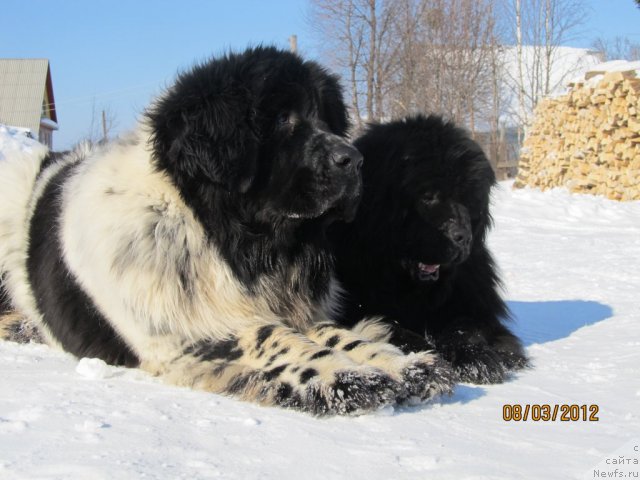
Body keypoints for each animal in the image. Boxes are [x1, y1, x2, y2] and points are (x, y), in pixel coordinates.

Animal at [0, 49, 452, 416]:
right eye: (283, 119)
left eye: (326, 120)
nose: (355, 160)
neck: (227, 239)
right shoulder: (180, 331)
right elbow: (268, 335)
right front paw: (341, 375)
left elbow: (331, 331)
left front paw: (397, 362)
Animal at [332, 114, 528, 384]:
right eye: (428, 196)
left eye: (467, 199)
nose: (463, 237)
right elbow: (391, 326)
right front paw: (426, 352)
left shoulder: (474, 306)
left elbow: (464, 327)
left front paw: (475, 359)